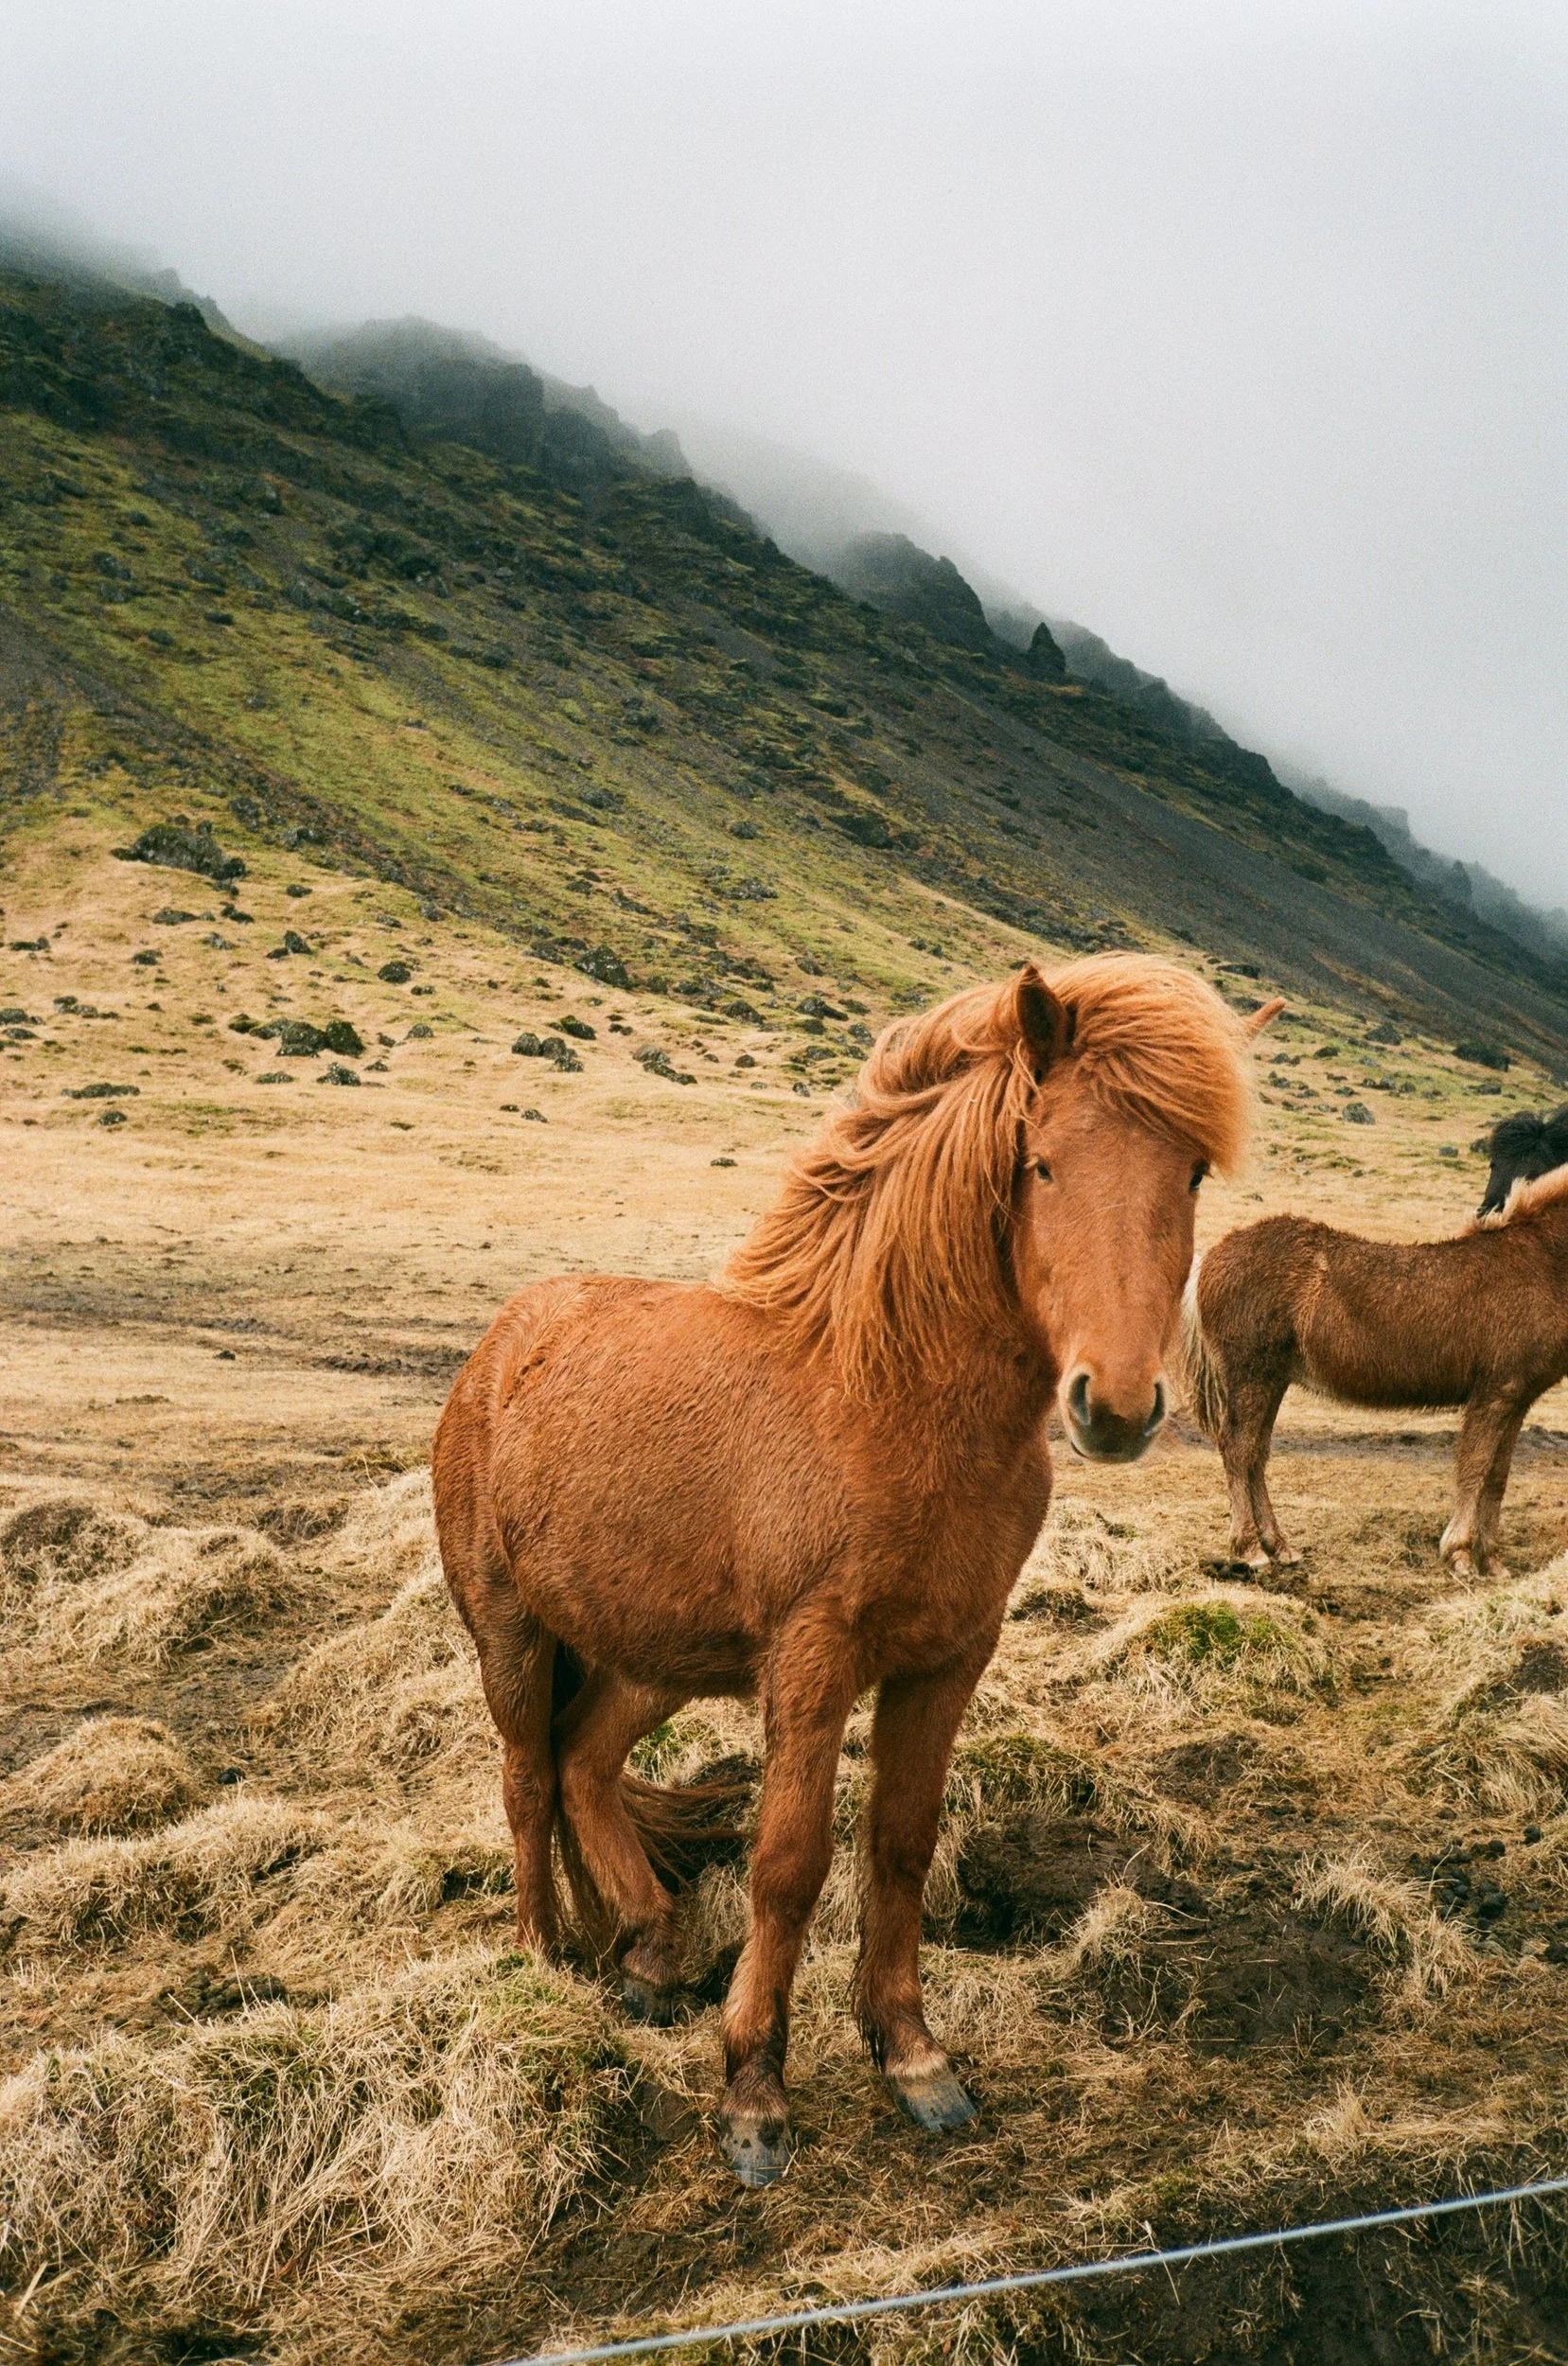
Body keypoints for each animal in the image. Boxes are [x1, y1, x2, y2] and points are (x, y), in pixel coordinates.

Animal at [434, 956, 1272, 2186]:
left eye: (1194, 1172)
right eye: (1043, 1161)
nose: (1115, 1407)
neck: (886, 1400)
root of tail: (502, 1345)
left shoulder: (951, 1654)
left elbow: (902, 1843)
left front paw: (913, 2057)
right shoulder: (813, 1658)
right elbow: (788, 1859)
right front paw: (752, 2093)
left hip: (650, 1656)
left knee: (585, 1764)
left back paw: (647, 1952)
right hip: (511, 1632)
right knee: (528, 1780)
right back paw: (542, 1958)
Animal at [1181, 1129, 1568, 1582]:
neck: (1540, 1262)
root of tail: (1212, 1258)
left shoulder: (1516, 1399)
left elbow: (1497, 1477)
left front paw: (1492, 1561)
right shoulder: (1494, 1395)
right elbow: (1474, 1468)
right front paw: (1460, 1556)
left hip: (1271, 1381)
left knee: (1256, 1454)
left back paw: (1279, 1546)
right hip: (1250, 1378)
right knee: (1238, 1450)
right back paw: (1250, 1549)